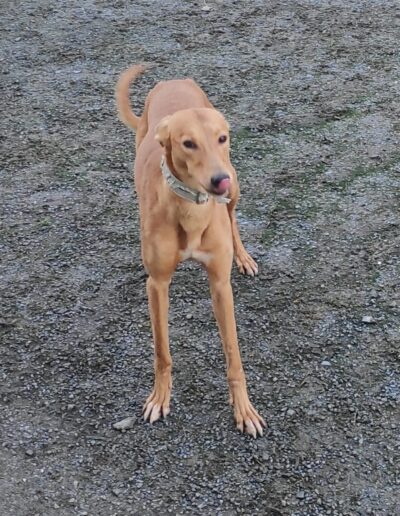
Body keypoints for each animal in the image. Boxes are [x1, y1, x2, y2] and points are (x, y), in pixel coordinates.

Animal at [115, 65, 265, 437]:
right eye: (188, 143)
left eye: (221, 138)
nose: (218, 180)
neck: (191, 210)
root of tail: (174, 81)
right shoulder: (157, 285)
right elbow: (162, 352)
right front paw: (159, 398)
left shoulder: (220, 285)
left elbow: (233, 355)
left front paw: (244, 410)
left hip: (237, 187)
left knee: (233, 215)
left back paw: (244, 256)